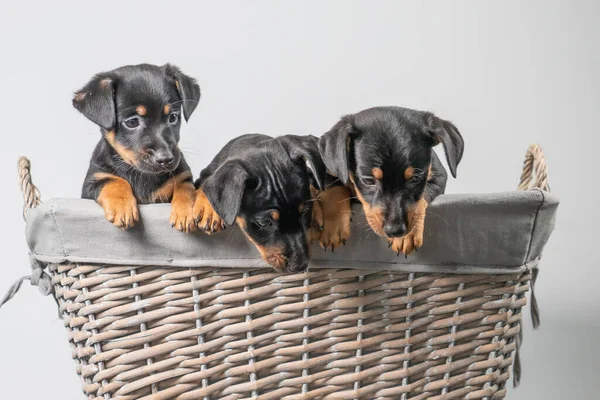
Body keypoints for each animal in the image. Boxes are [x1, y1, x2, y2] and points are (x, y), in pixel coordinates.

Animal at [73, 63, 200, 231]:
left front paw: (186, 211)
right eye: (132, 122)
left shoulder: (183, 176)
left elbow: (186, 188)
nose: (166, 159)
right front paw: (123, 206)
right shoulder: (93, 179)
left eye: (173, 117)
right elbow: (114, 181)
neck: (142, 175)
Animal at [192, 134, 326, 272]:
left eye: (305, 211)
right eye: (263, 223)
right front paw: (209, 211)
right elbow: (204, 185)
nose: (300, 266)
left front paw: (316, 212)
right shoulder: (204, 175)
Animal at [318, 106, 464, 255]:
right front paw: (333, 227)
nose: (395, 231)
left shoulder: (439, 175)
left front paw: (406, 237)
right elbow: (334, 188)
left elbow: (421, 197)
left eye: (416, 178)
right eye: (368, 180)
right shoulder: (329, 168)